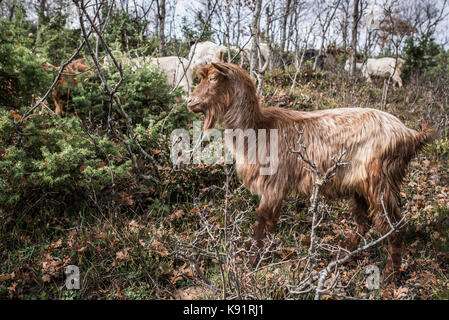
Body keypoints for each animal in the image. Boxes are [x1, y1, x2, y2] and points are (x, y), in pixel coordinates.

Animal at [187, 62, 436, 280]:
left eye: (213, 78)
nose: (189, 101)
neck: (259, 127)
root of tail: (410, 134)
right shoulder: (278, 188)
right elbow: (272, 222)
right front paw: (267, 255)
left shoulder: (273, 184)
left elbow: (260, 220)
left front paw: (252, 262)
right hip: (361, 185)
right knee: (363, 222)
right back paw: (341, 256)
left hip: (380, 182)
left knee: (394, 227)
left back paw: (389, 278)